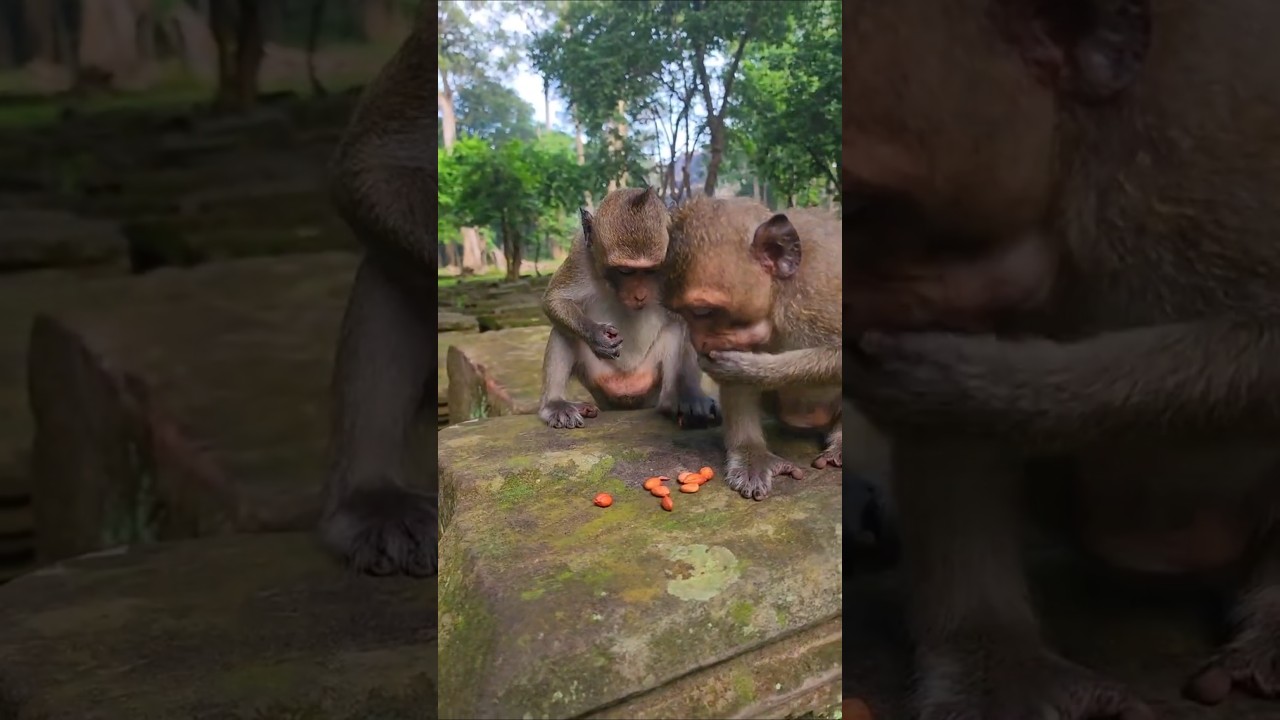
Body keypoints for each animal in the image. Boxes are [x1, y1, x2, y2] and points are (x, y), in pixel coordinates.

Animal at [537, 187, 720, 430]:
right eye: (625, 271)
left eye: (652, 270)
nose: (639, 295)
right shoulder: (580, 253)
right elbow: (556, 300)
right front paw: (597, 335)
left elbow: (691, 316)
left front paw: (692, 397)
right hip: (598, 380)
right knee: (562, 331)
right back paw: (555, 404)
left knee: (677, 330)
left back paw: (674, 401)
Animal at [662, 196, 843, 501]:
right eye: (683, 314)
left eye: (702, 311)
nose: (699, 342)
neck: (778, 294)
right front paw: (751, 455)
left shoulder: (818, 291)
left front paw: (751, 368)